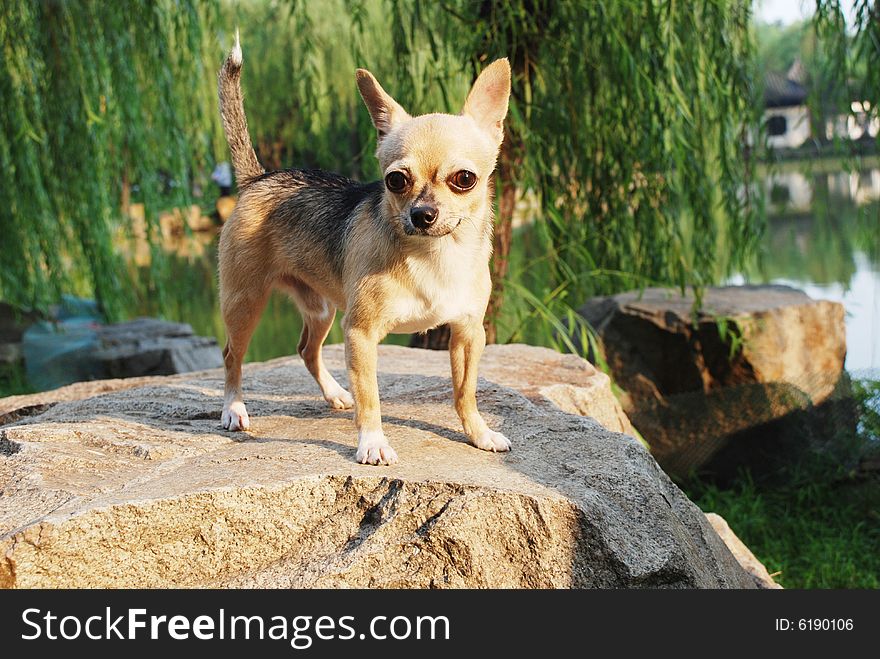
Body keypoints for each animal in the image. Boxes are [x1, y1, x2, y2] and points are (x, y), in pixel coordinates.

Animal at [216, 31, 512, 464]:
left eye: (464, 178)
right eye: (395, 180)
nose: (423, 214)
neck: (434, 256)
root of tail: (259, 178)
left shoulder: (468, 333)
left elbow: (465, 392)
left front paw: (478, 433)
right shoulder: (360, 334)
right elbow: (370, 398)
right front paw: (372, 442)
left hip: (320, 308)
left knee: (306, 349)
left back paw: (336, 394)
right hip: (245, 303)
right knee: (232, 356)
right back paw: (234, 409)